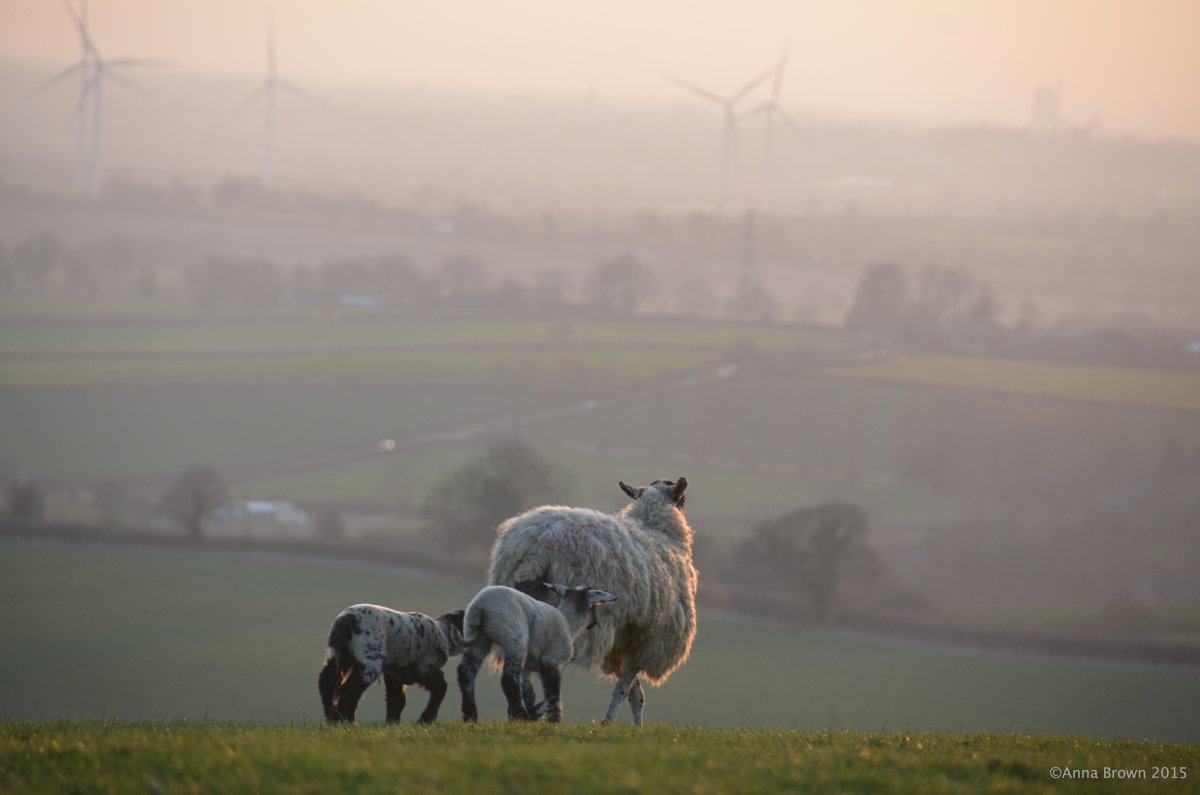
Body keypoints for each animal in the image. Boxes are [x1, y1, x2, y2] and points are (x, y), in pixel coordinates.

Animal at [316, 607, 465, 725]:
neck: (444, 632)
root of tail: (346, 621)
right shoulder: (426, 668)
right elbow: (441, 688)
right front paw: (425, 719)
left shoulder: (395, 674)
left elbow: (397, 699)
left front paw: (392, 723)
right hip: (369, 661)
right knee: (349, 690)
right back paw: (346, 721)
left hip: (336, 653)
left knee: (326, 683)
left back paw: (332, 719)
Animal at [458, 583, 619, 725]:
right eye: (595, 608)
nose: (595, 623)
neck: (568, 622)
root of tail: (481, 606)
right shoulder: (552, 662)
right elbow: (554, 695)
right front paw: (548, 719)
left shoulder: (527, 668)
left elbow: (530, 694)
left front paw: (517, 719)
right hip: (514, 638)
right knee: (509, 679)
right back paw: (521, 714)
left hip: (476, 635)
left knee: (466, 672)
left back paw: (470, 715)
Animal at [484, 480, 696, 730]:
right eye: (683, 499)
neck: (660, 531)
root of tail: (536, 550)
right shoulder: (647, 640)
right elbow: (625, 689)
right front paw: (609, 723)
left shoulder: (622, 642)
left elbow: (635, 692)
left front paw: (636, 727)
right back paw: (533, 711)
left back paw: (521, 712)